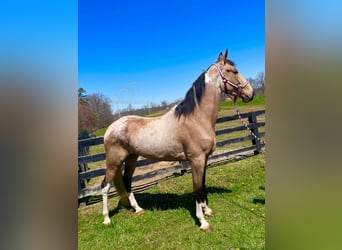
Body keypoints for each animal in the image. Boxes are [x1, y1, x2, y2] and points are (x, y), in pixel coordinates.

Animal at [101, 49, 254, 232]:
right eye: (233, 71)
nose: (251, 93)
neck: (196, 118)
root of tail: (109, 129)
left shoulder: (204, 159)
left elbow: (202, 185)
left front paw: (207, 210)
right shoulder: (196, 160)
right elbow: (197, 188)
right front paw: (202, 222)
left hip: (131, 158)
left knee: (127, 182)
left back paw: (138, 209)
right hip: (114, 161)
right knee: (105, 186)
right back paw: (106, 219)